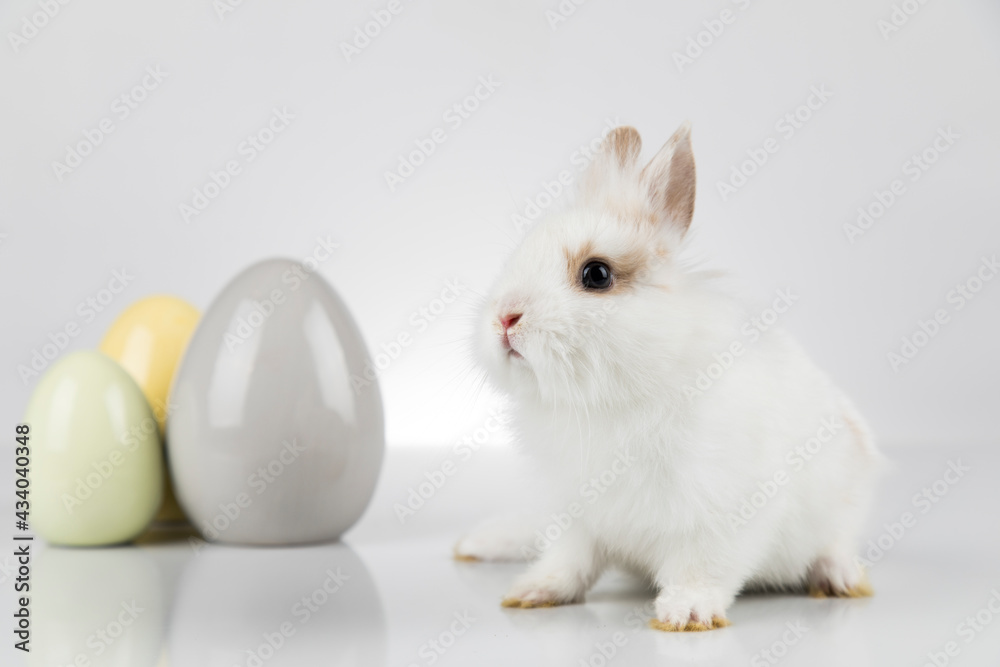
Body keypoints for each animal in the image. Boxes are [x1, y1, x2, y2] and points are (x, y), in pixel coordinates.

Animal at [454, 122, 882, 631]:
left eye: (596, 274)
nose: (504, 318)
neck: (606, 401)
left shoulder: (719, 511)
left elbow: (702, 566)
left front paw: (686, 614)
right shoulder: (575, 514)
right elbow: (569, 561)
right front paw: (534, 592)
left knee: (834, 543)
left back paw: (840, 578)